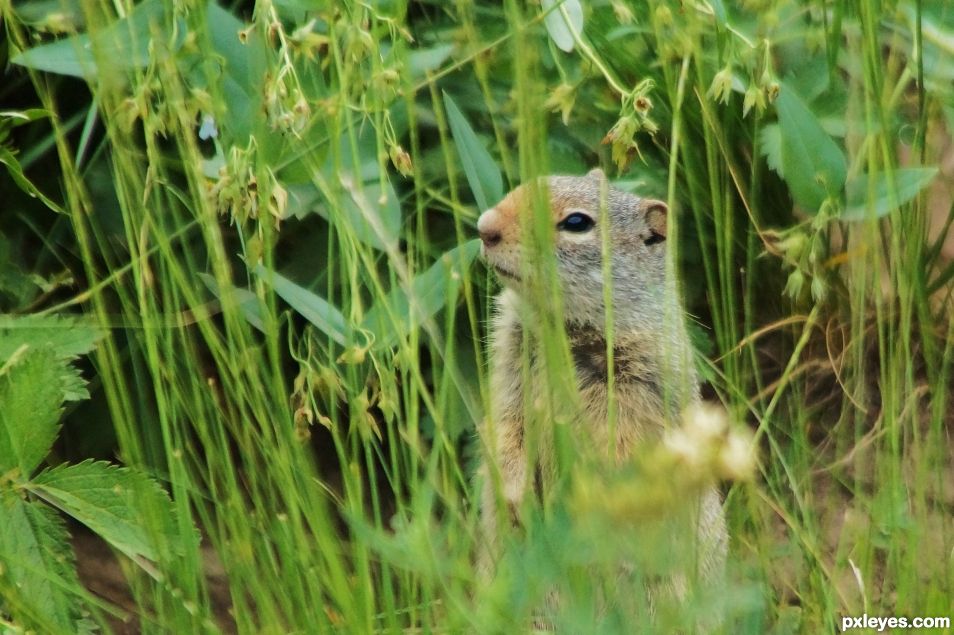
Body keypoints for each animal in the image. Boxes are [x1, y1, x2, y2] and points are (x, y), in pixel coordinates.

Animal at [472, 166, 724, 600]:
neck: (560, 327)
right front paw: (514, 495)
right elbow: (506, 426)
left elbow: (622, 455)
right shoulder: (509, 359)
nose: (484, 227)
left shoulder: (642, 384)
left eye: (577, 223)